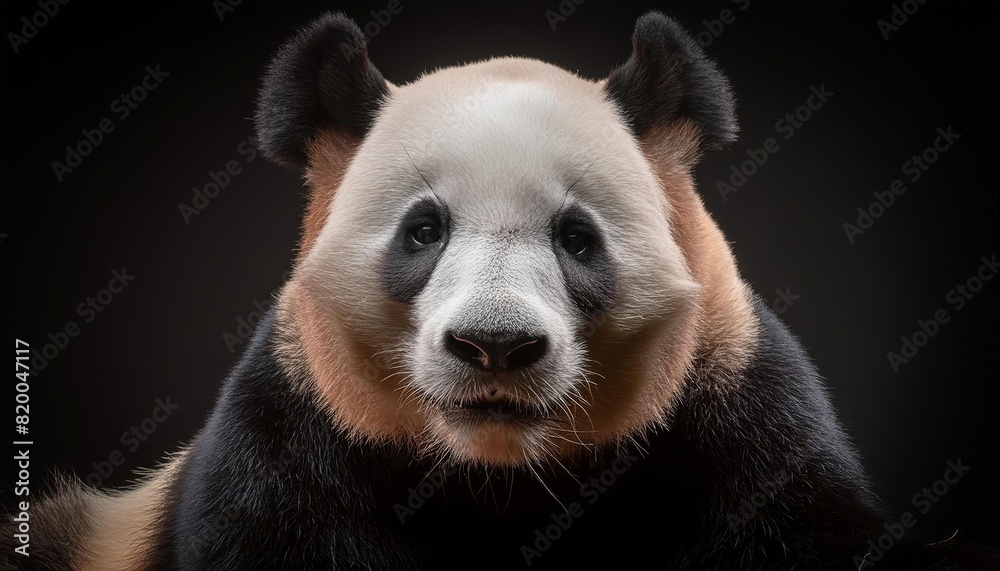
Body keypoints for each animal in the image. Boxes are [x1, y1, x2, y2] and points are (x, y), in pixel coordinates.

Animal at [5, 10, 999, 571]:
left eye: (578, 238)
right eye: (423, 230)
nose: (495, 345)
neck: (500, 474)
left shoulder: (739, 418)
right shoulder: (288, 437)